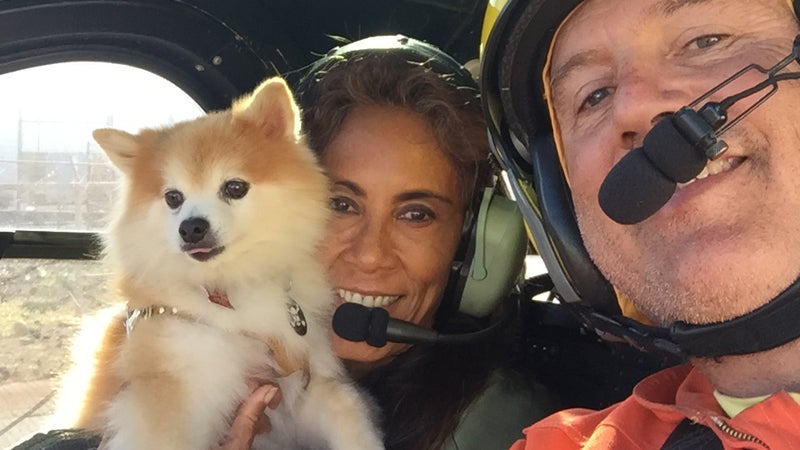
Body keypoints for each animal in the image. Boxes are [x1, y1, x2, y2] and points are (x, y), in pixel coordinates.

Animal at [64, 78, 382, 450]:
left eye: (234, 187)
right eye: (173, 198)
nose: (191, 227)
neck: (229, 289)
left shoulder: (302, 383)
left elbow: (346, 408)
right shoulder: (176, 387)